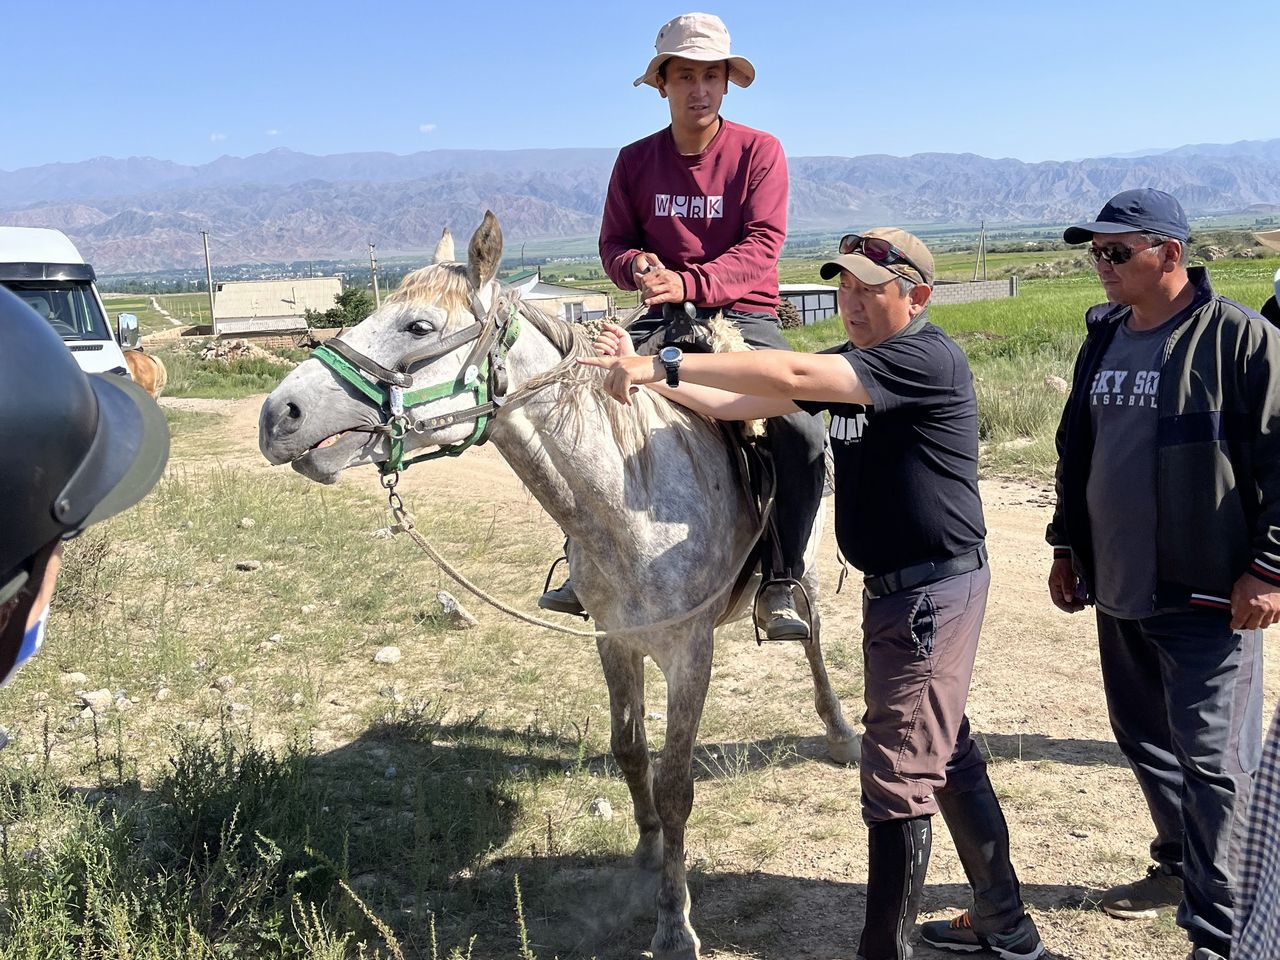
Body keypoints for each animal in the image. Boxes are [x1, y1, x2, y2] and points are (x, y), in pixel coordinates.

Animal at [254, 213, 855, 957]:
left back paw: (840, 731)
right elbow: (630, 752)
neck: (630, 496)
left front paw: (674, 924)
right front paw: (646, 854)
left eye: (419, 327)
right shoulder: (614, 640)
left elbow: (677, 784)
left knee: (812, 632)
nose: (279, 415)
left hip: (803, 568)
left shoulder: (690, 655)